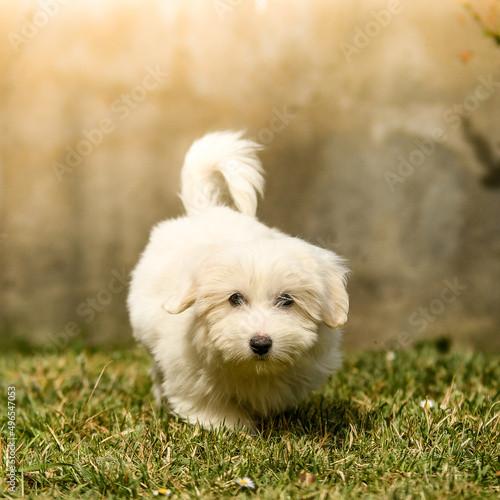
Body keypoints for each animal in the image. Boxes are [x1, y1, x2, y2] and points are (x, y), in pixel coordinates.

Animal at [127, 131, 350, 432]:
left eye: (287, 300)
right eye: (234, 298)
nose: (260, 343)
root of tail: (207, 209)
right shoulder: (188, 370)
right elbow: (208, 405)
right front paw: (231, 428)